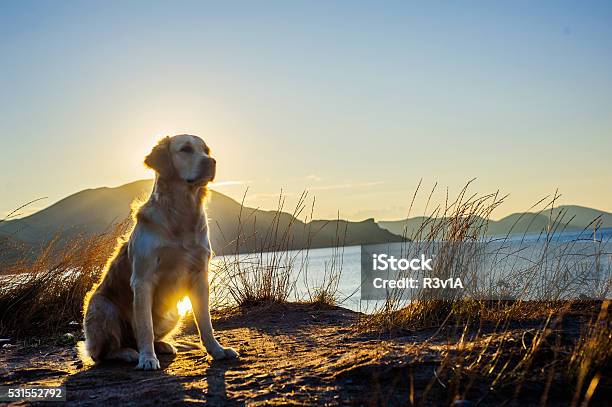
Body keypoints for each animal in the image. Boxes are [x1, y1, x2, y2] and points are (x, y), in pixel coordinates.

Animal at [83, 135, 239, 372]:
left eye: (206, 150)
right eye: (186, 149)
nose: (211, 162)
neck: (182, 213)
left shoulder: (200, 277)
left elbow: (205, 322)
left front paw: (217, 350)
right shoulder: (142, 279)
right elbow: (145, 327)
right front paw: (147, 358)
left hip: (174, 312)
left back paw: (163, 345)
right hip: (102, 307)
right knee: (102, 354)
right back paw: (129, 353)